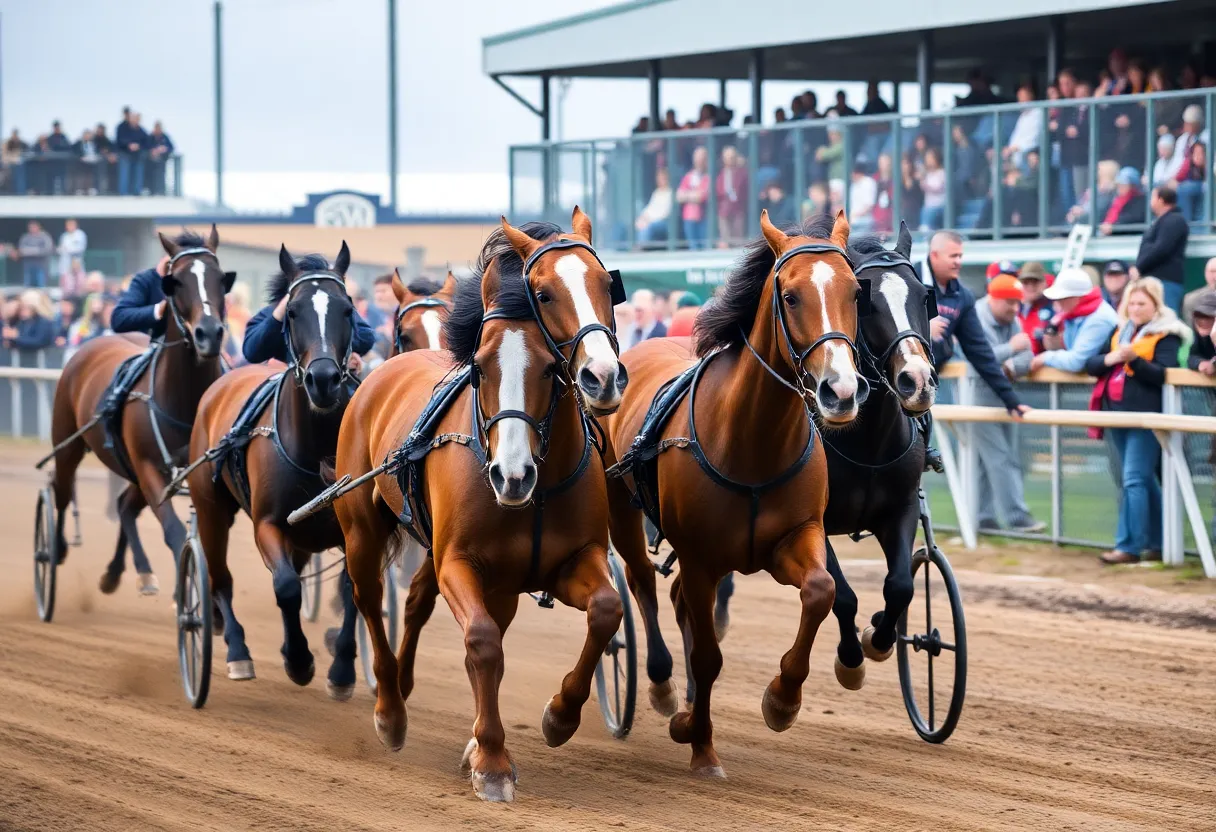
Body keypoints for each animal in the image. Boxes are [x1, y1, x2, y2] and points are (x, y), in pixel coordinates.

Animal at [46, 227, 233, 595]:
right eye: (176, 282)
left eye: (221, 278)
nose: (209, 334)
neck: (184, 399)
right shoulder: (149, 465)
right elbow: (174, 532)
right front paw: (185, 591)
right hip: (68, 443)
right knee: (60, 492)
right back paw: (55, 549)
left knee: (125, 507)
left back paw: (123, 572)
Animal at [186, 243, 359, 686]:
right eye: (293, 311)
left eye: (348, 309)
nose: (324, 379)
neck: (315, 449)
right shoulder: (268, 523)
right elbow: (285, 587)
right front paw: (298, 660)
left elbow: (353, 588)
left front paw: (342, 668)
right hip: (211, 509)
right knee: (220, 580)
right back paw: (237, 651)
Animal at [324, 209, 626, 801]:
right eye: (482, 369)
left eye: (607, 284)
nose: (601, 376)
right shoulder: (459, 562)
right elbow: (482, 642)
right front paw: (492, 761)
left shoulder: (570, 560)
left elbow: (606, 610)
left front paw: (559, 716)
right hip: (362, 528)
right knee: (370, 599)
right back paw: (390, 707)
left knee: (424, 605)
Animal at [602, 210, 866, 778]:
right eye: (790, 296)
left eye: (856, 291)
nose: (840, 392)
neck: (751, 440)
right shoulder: (702, 557)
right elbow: (707, 655)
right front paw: (702, 746)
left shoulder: (793, 537)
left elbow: (821, 590)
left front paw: (782, 700)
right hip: (620, 507)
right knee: (643, 583)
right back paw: (662, 686)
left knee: (676, 599)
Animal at [675, 222, 939, 702]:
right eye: (869, 300)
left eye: (923, 296)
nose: (917, 381)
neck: (865, 443)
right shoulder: (815, 520)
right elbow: (844, 596)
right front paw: (850, 660)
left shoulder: (902, 506)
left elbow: (901, 585)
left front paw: (879, 637)